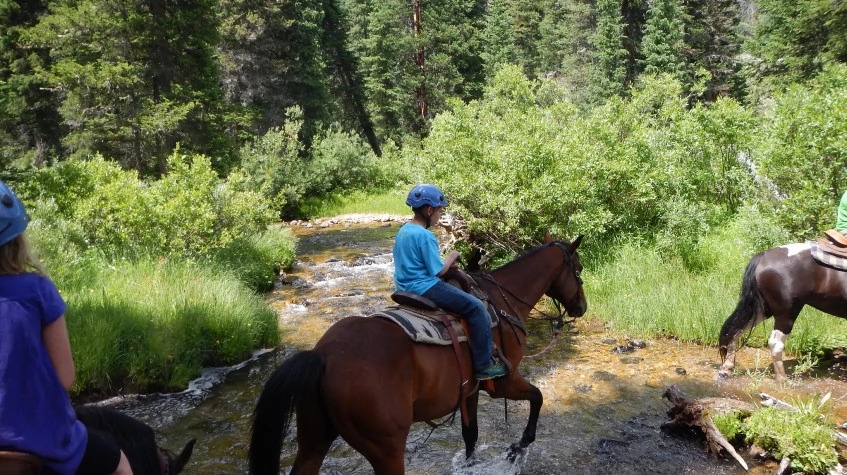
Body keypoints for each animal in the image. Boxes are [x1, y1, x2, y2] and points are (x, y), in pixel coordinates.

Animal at [249, 234, 586, 475]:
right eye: (579, 269)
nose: (581, 307)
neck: (502, 302)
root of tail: (324, 356)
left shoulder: (470, 390)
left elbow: (471, 435)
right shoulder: (504, 381)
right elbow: (538, 397)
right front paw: (518, 448)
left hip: (314, 440)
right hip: (386, 449)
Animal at [718, 241, 847, 382]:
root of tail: (764, 255)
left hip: (763, 309)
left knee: (735, 330)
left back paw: (726, 369)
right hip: (786, 313)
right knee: (775, 344)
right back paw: (782, 379)